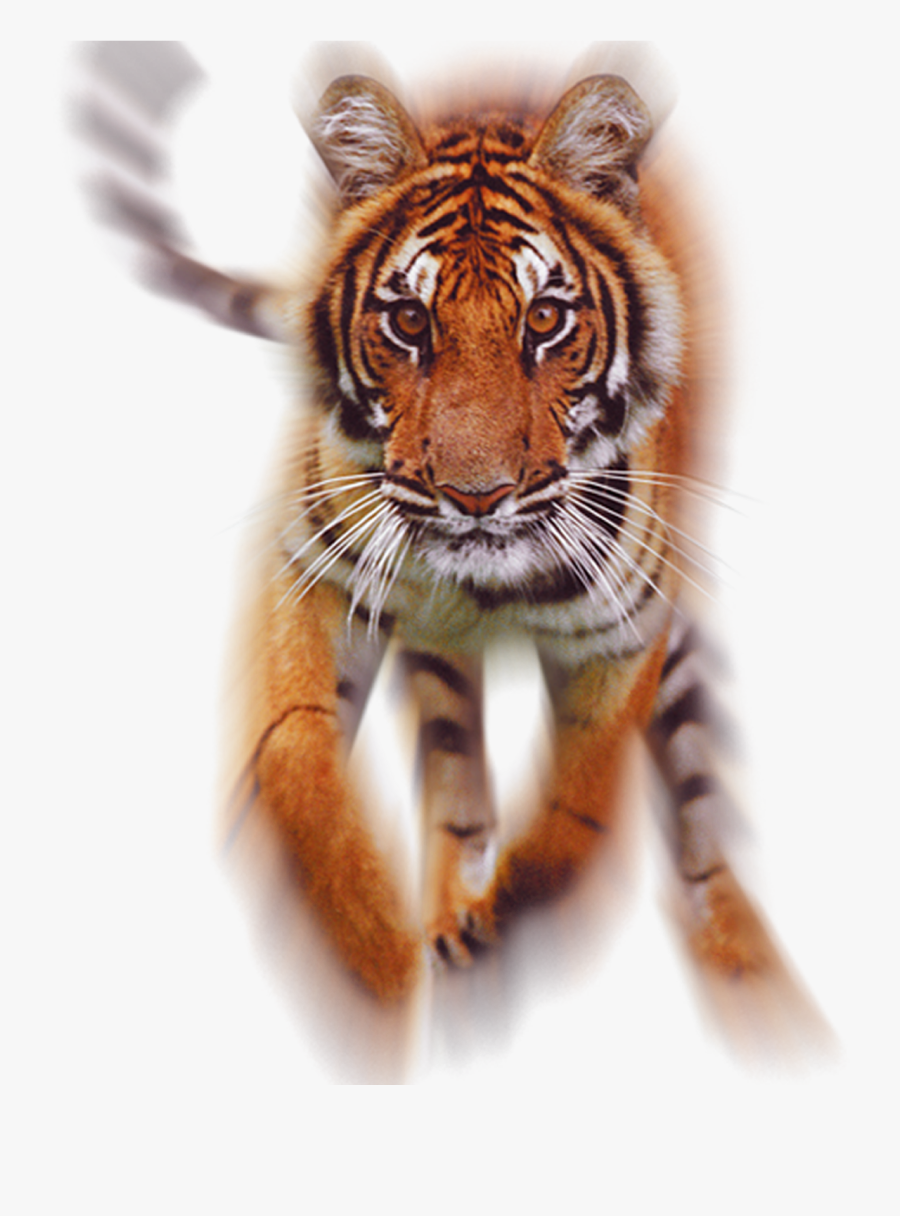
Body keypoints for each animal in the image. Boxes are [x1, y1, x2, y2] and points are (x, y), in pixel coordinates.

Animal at [76, 41, 822, 1045]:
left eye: (544, 319)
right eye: (408, 320)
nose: (475, 498)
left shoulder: (628, 634)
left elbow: (577, 814)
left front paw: (503, 922)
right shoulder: (314, 572)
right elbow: (296, 755)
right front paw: (374, 958)